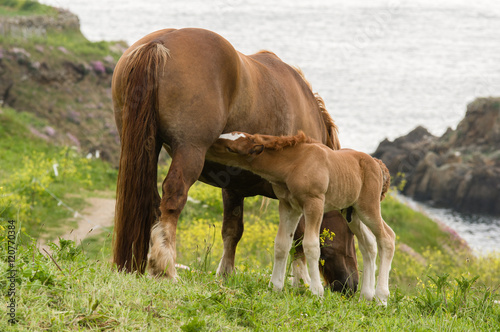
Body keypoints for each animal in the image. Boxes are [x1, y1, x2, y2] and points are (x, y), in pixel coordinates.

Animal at [111, 29, 358, 290]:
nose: (351, 285)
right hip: (190, 150)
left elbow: (232, 230)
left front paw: (225, 273)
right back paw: (166, 268)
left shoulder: (233, 189)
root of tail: (159, 43)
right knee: (173, 198)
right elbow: (298, 237)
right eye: (350, 229)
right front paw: (301, 281)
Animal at [206, 131, 394, 304]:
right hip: (351, 212)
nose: (207, 147)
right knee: (369, 243)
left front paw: (316, 292)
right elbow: (281, 244)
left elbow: (311, 245)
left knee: (387, 237)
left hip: (368, 207)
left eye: (230, 148)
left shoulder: (314, 203)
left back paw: (381, 298)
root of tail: (378, 164)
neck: (295, 163)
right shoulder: (288, 206)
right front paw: (275, 287)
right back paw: (366, 296)